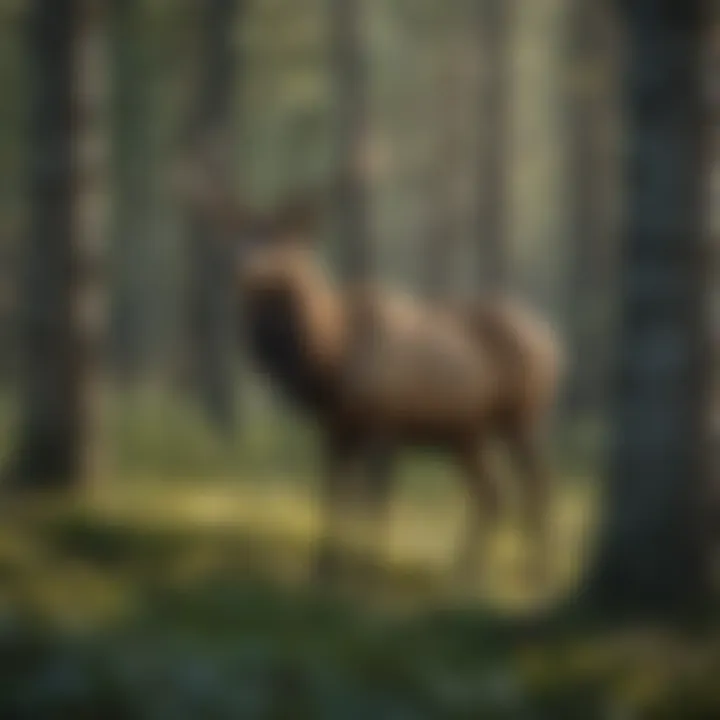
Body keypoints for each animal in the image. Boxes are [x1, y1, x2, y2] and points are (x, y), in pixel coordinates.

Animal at [176, 147, 564, 593]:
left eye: (286, 242)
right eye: (242, 235)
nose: (249, 269)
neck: (330, 362)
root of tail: (551, 339)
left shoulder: (384, 419)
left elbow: (374, 501)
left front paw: (369, 571)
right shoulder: (338, 427)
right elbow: (333, 495)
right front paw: (324, 570)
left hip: (523, 412)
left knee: (538, 485)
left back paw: (537, 575)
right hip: (465, 432)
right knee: (492, 493)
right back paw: (465, 573)